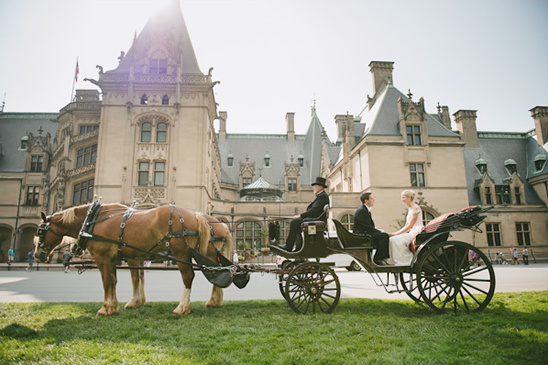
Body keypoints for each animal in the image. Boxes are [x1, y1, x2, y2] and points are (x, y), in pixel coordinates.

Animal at [34, 202, 231, 316]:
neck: (94, 220)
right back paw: (213, 301)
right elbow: (124, 280)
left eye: (41, 231)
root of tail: (196, 216)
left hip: (182, 252)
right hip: (207, 254)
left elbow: (109, 282)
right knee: (218, 272)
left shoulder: (103, 258)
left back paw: (182, 307)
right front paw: (123, 304)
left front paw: (106, 308)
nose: (37, 255)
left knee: (189, 277)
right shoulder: (124, 257)